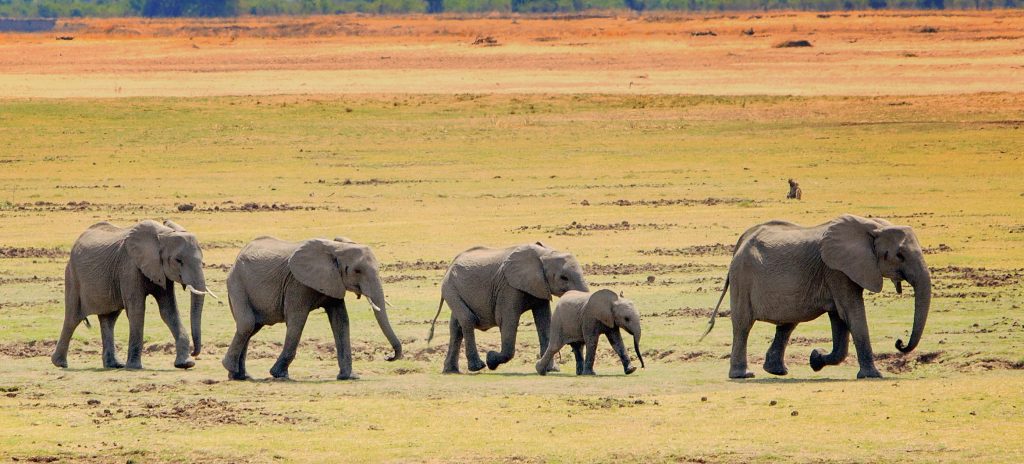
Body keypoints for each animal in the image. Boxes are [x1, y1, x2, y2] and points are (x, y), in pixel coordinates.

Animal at [51, 220, 214, 368]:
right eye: (178, 260)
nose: (194, 352)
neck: (163, 234)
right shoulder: (129, 267)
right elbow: (137, 309)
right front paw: (134, 367)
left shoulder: (161, 272)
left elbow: (169, 311)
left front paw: (185, 364)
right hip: (72, 276)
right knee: (73, 318)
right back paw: (60, 363)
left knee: (109, 319)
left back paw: (114, 365)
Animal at [222, 235, 401, 378]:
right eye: (357, 271)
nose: (388, 357)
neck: (337, 248)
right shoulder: (297, 283)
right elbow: (297, 320)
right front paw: (279, 375)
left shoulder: (333, 281)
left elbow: (341, 321)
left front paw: (349, 377)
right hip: (237, 283)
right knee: (247, 324)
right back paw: (232, 369)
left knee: (251, 328)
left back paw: (239, 375)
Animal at [423, 242, 589, 372]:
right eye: (563, 278)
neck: (544, 254)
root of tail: (450, 264)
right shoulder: (508, 287)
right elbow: (508, 320)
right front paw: (491, 359)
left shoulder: (539, 286)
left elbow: (544, 322)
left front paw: (552, 370)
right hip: (450, 288)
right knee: (467, 319)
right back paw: (478, 367)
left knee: (456, 327)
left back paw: (451, 371)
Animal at [704, 215, 929, 378]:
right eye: (899, 255)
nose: (900, 343)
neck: (872, 226)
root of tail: (740, 242)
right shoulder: (837, 269)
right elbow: (851, 312)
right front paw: (873, 375)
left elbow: (840, 318)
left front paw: (815, 359)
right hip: (742, 277)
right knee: (743, 325)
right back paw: (743, 375)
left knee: (788, 323)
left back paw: (777, 371)